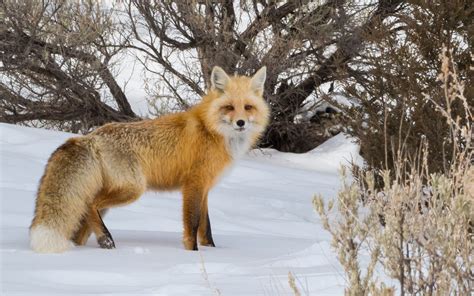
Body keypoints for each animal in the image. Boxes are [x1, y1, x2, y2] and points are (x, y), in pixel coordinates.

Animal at [29, 66, 268, 252]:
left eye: (248, 107)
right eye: (229, 107)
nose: (240, 123)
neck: (211, 129)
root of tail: (90, 136)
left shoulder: (205, 188)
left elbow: (206, 228)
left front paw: (213, 252)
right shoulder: (193, 184)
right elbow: (192, 224)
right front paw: (192, 253)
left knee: (83, 218)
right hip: (133, 188)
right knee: (90, 203)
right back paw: (106, 239)